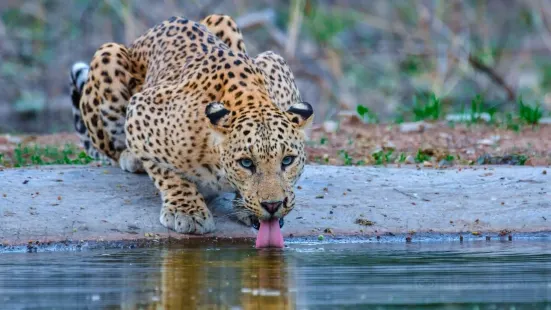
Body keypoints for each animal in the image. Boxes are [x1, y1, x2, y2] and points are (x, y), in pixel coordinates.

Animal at [69, 13, 312, 234]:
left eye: (287, 161)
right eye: (246, 163)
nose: (272, 205)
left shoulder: (275, 62)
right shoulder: (140, 110)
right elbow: (166, 171)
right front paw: (187, 211)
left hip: (222, 19)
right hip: (107, 54)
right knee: (114, 149)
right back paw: (130, 158)